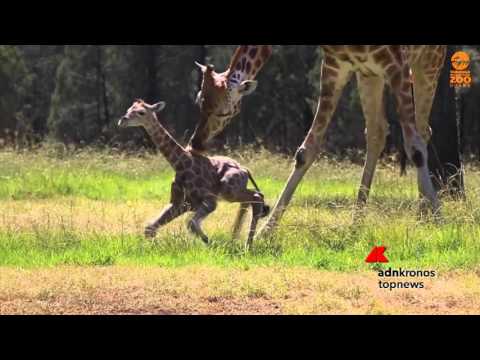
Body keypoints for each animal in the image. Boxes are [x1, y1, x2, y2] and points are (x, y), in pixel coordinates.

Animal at [117, 99, 268, 250]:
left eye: (141, 112)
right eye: (129, 109)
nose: (122, 120)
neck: (180, 164)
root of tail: (245, 170)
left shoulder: (209, 200)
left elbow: (191, 224)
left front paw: (211, 243)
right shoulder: (181, 203)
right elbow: (150, 228)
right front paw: (152, 247)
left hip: (229, 191)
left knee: (257, 196)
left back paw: (247, 245)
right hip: (232, 192)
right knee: (251, 199)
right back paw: (236, 239)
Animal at [189, 45, 448, 236]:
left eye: (224, 111)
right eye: (200, 99)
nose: (197, 143)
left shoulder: (397, 65)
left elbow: (414, 148)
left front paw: (442, 222)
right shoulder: (337, 66)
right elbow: (306, 150)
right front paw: (266, 232)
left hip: (429, 60)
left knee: (421, 131)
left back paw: (423, 216)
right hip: (369, 74)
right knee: (377, 131)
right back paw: (358, 223)